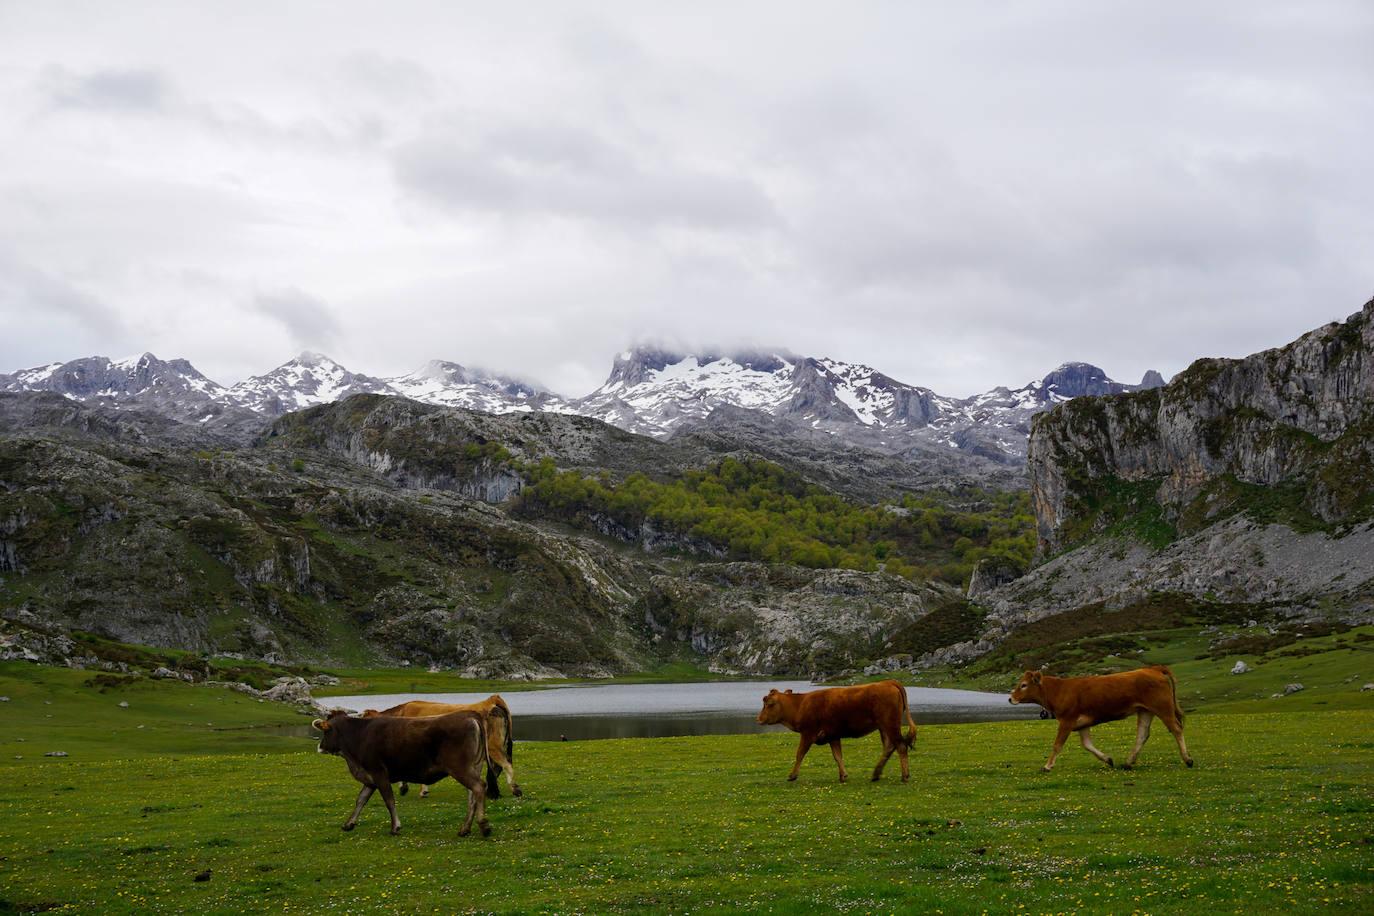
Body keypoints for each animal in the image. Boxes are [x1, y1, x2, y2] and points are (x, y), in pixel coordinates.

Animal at [310, 708, 489, 840]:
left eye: (325, 731)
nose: (320, 747)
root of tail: (469, 714)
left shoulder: (379, 772)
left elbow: (389, 800)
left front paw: (395, 827)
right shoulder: (370, 778)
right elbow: (360, 800)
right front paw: (349, 823)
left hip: (460, 767)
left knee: (479, 787)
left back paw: (484, 826)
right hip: (474, 766)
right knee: (472, 796)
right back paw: (465, 829)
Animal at [359, 697, 519, 796]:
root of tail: (492, 700)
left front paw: (416, 789)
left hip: (493, 746)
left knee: (506, 764)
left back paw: (515, 790)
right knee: (498, 767)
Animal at [758, 678, 917, 785]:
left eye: (768, 703)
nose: (758, 719)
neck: (801, 704)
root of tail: (888, 682)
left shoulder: (808, 733)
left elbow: (800, 754)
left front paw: (792, 775)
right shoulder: (832, 736)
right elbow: (838, 756)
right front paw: (843, 775)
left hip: (890, 724)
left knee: (900, 746)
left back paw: (905, 776)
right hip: (883, 727)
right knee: (889, 747)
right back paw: (876, 774)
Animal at [1011, 667, 1192, 774]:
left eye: (1024, 685)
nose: (1010, 698)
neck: (1059, 690)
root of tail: (1153, 669)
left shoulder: (1067, 721)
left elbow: (1057, 745)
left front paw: (1047, 766)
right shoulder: (1082, 724)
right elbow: (1087, 745)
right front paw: (1108, 759)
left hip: (1163, 708)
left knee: (1176, 728)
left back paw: (1188, 759)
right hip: (1145, 711)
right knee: (1143, 734)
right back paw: (1128, 762)